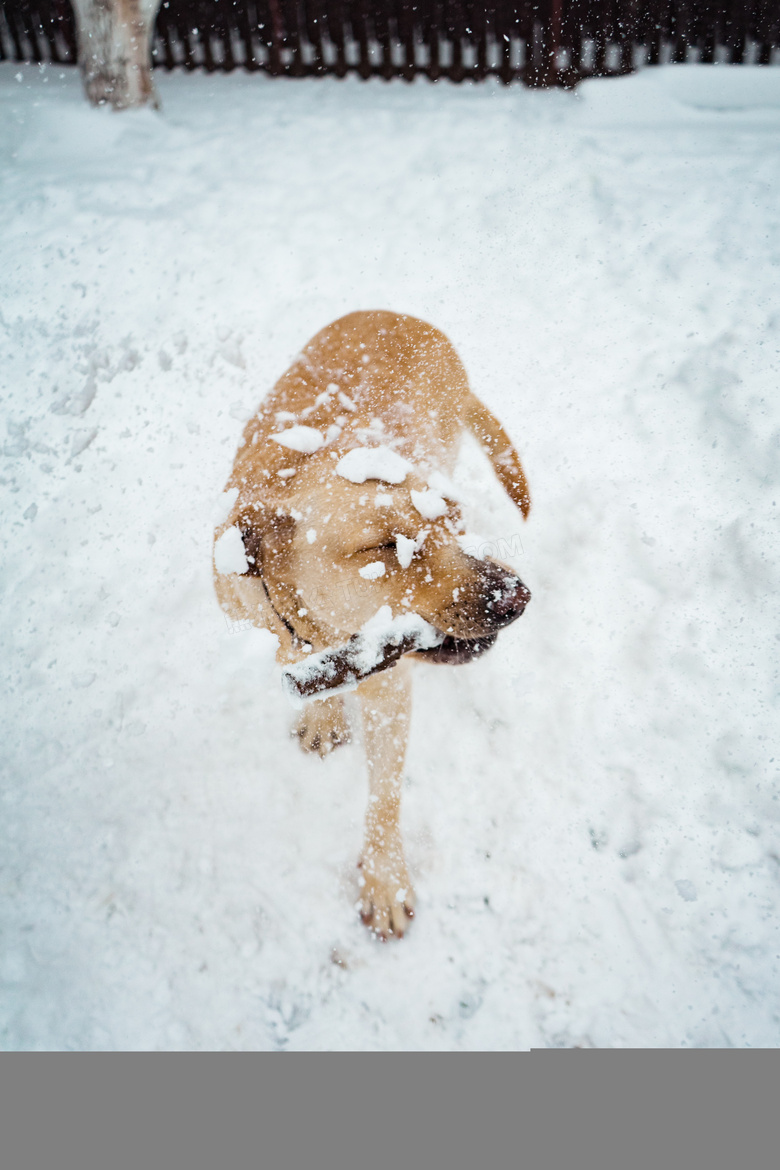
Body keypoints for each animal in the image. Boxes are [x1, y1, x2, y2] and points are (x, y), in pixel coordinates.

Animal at [214, 311, 530, 940]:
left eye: (454, 520)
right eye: (383, 546)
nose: (518, 598)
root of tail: (411, 318)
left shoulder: (389, 687)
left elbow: (384, 795)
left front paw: (384, 880)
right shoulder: (270, 620)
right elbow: (297, 658)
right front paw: (323, 711)